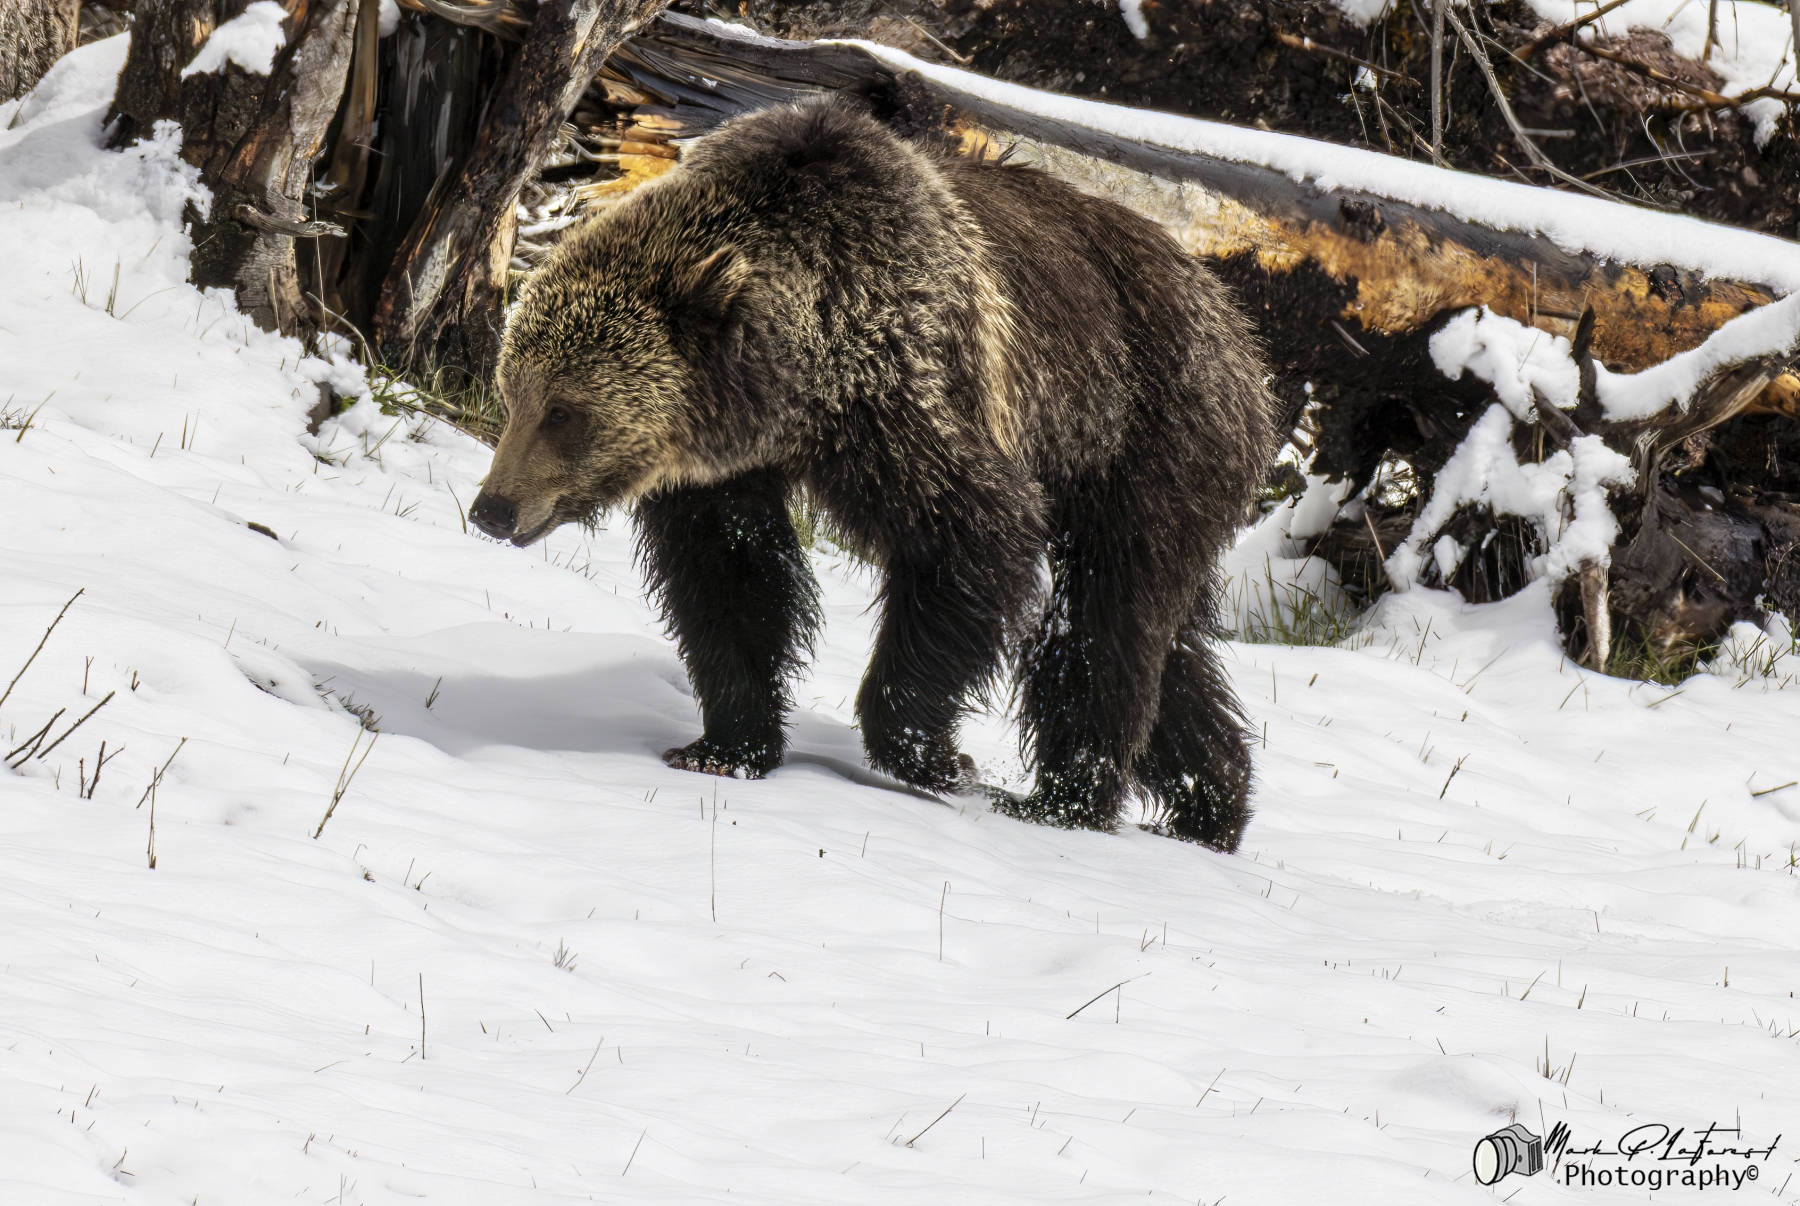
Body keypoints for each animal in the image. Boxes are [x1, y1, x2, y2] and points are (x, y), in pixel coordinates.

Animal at [468, 99, 1278, 851]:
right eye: (513, 393)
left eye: (564, 411)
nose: (493, 509)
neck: (799, 381)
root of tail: (1237, 326)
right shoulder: (722, 469)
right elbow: (731, 576)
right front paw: (725, 744)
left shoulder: (906, 393)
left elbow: (973, 534)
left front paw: (936, 756)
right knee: (1165, 648)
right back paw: (1214, 804)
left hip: (1140, 436)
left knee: (1103, 618)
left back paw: (1066, 801)